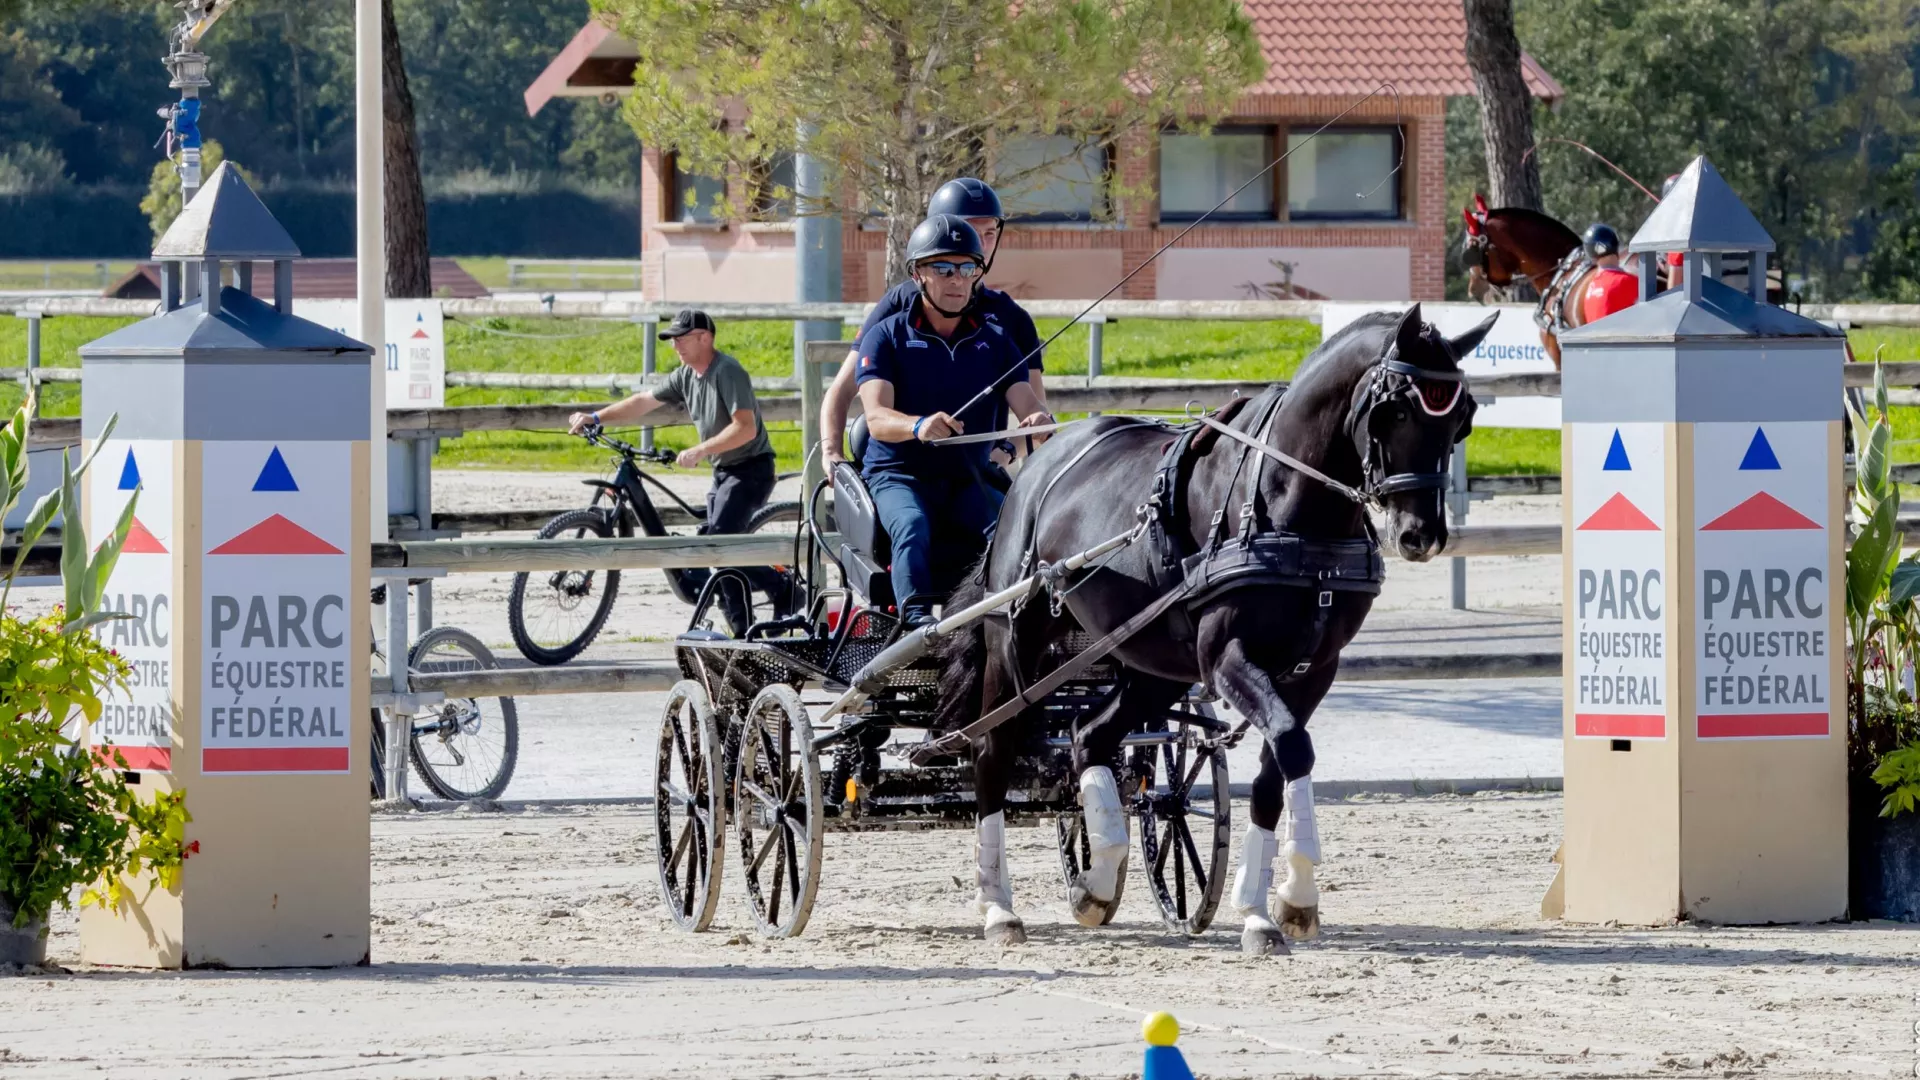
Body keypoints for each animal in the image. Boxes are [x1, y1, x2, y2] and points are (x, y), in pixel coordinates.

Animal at [936, 303, 1489, 949]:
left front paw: (1272, 905)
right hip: (1015, 642)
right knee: (993, 749)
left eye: (1463, 420)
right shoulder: (1227, 656)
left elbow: (1279, 766)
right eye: (1394, 411)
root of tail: (1042, 457)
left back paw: (1097, 880)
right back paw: (999, 905)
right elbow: (1292, 746)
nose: (1420, 535)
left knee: (1087, 736)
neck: (1288, 506)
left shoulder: (1312, 669)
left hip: (1152, 663)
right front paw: (1287, 896)